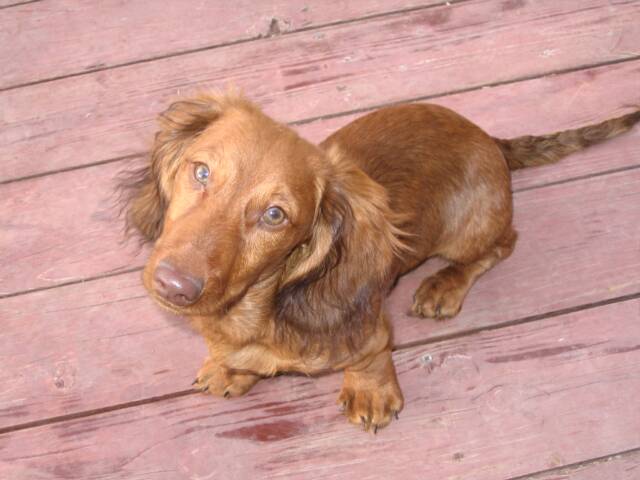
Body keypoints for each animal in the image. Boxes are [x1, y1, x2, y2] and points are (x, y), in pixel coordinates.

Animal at [120, 91, 639, 433]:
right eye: (201, 171)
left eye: (275, 215)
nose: (173, 285)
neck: (254, 311)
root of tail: (490, 139)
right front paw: (231, 369)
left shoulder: (371, 326)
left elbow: (372, 355)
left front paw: (370, 391)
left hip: (468, 230)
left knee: (502, 244)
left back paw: (444, 285)